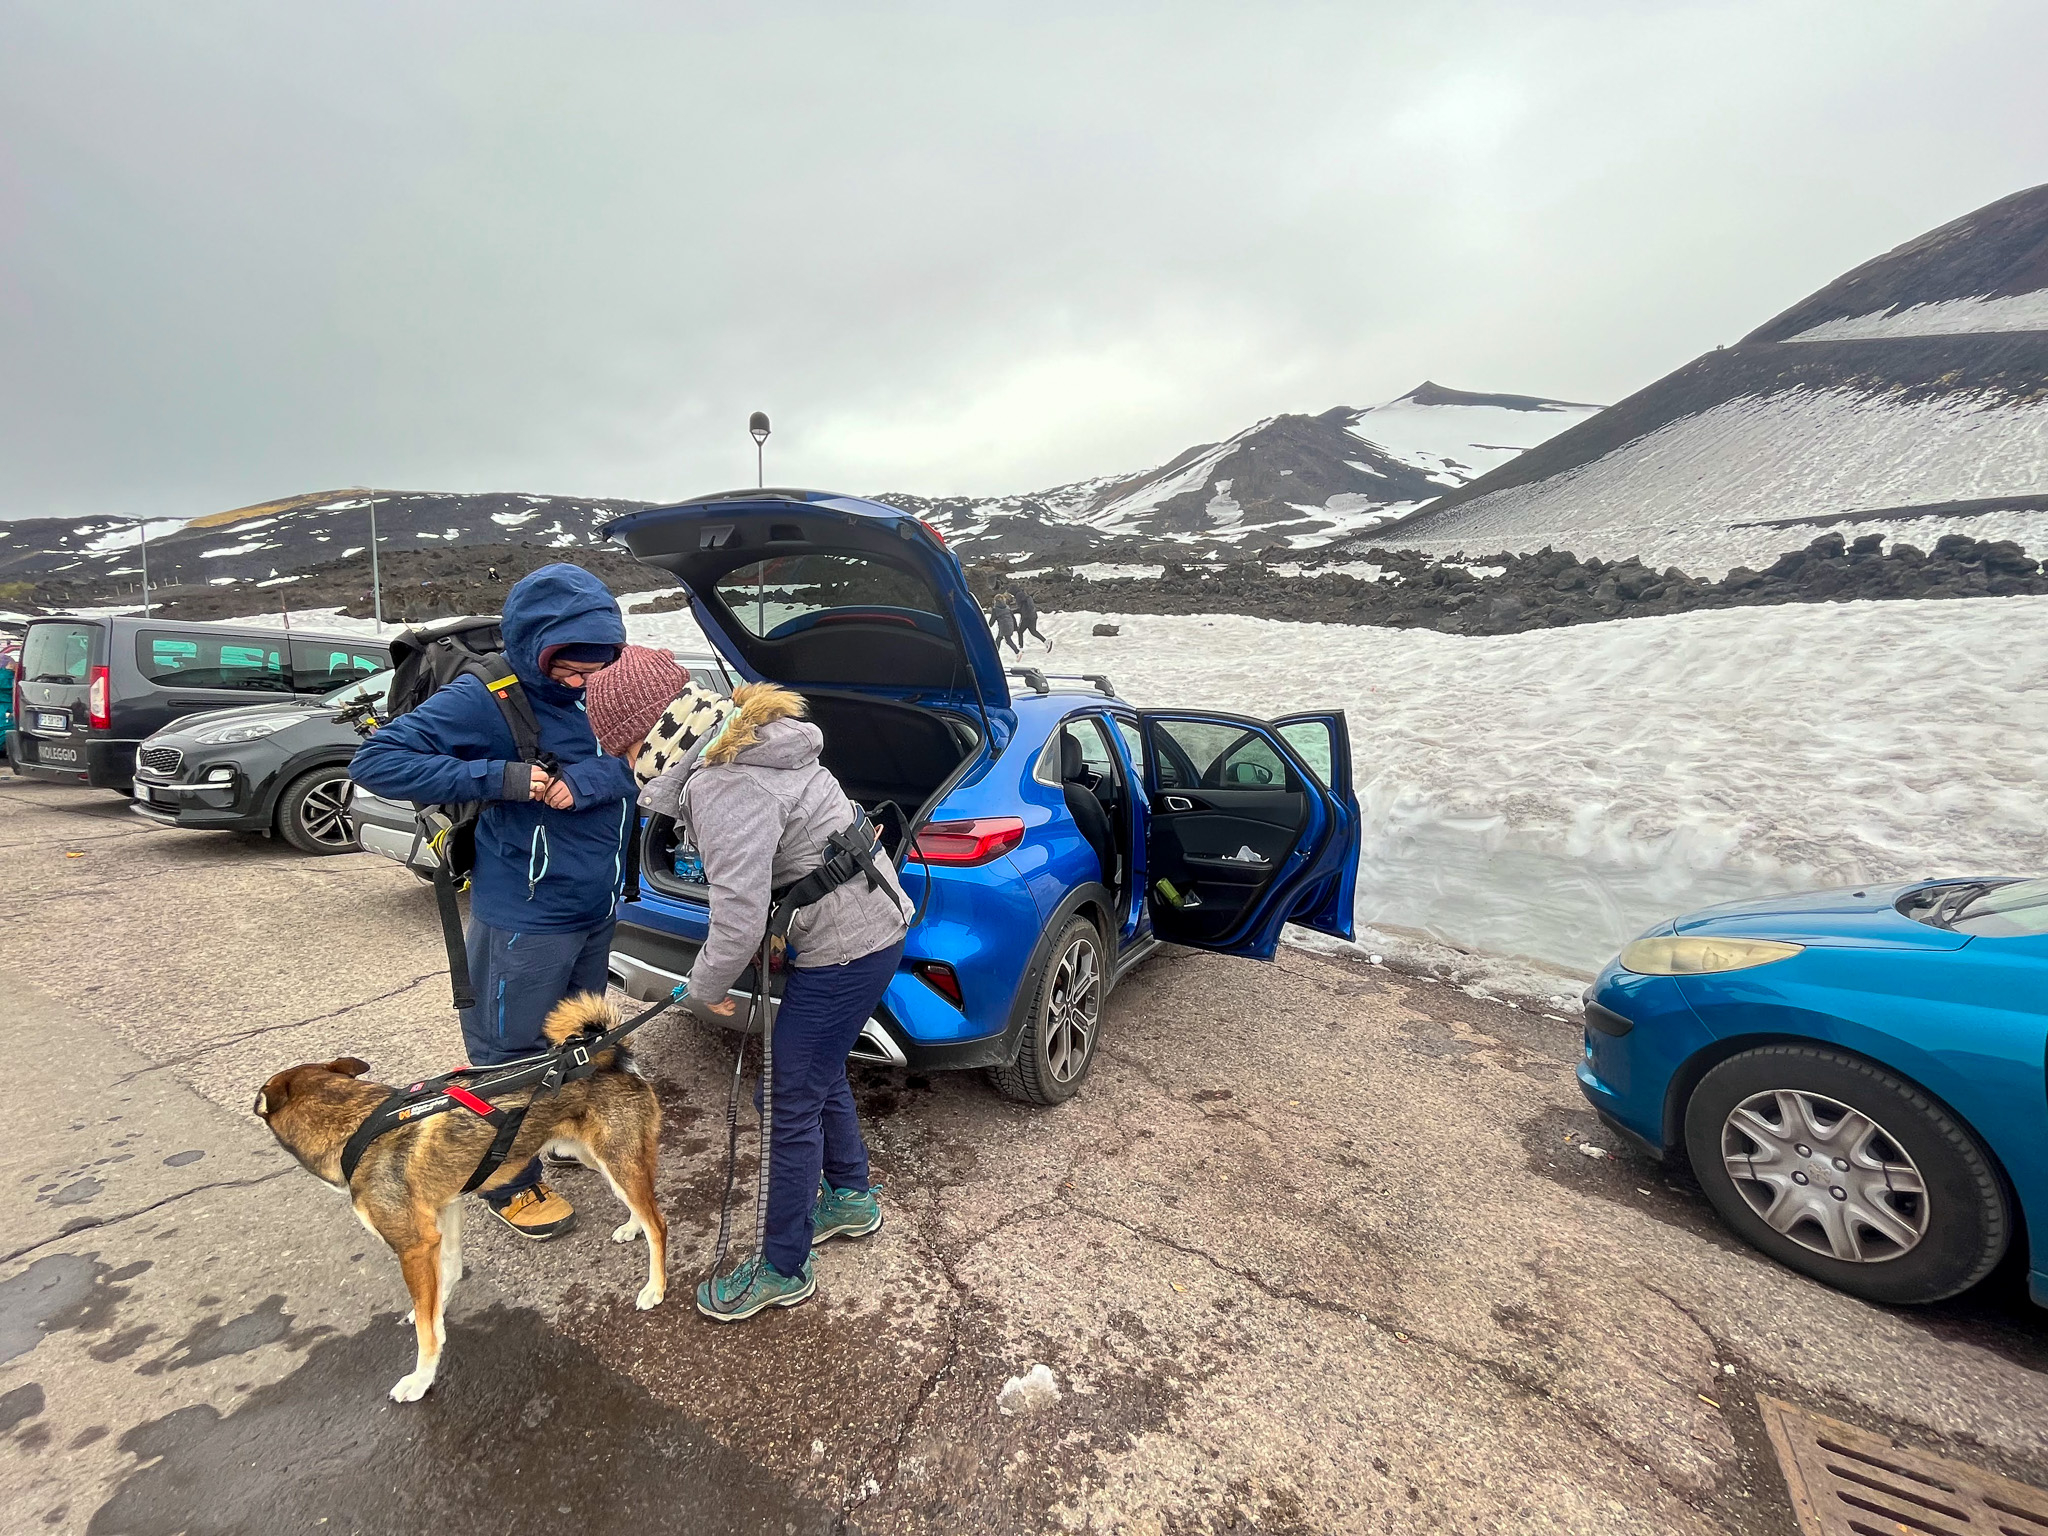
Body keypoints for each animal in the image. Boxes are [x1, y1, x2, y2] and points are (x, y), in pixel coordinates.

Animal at [247, 991, 663, 1400]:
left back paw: (655, 1286)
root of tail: (610, 1056)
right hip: (599, 1159)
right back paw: (633, 1226)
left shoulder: (413, 1246)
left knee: (659, 1226)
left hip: (617, 1161)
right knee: (641, 1205)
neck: (355, 1125)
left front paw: (421, 1377)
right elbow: (445, 1278)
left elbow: (426, 1330)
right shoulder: (444, 1213)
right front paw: (436, 1311)